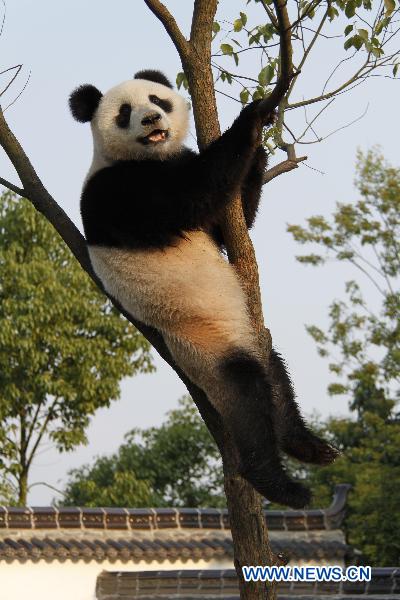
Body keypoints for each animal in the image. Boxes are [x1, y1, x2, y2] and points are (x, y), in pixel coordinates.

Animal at [69, 71, 338, 510]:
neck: (148, 159)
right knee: (245, 391)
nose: (151, 120)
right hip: (201, 344)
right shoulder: (117, 191)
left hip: (245, 333)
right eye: (125, 112)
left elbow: (228, 222)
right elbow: (194, 194)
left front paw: (263, 142)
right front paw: (253, 117)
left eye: (156, 99)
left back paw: (308, 446)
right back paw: (280, 485)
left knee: (274, 374)